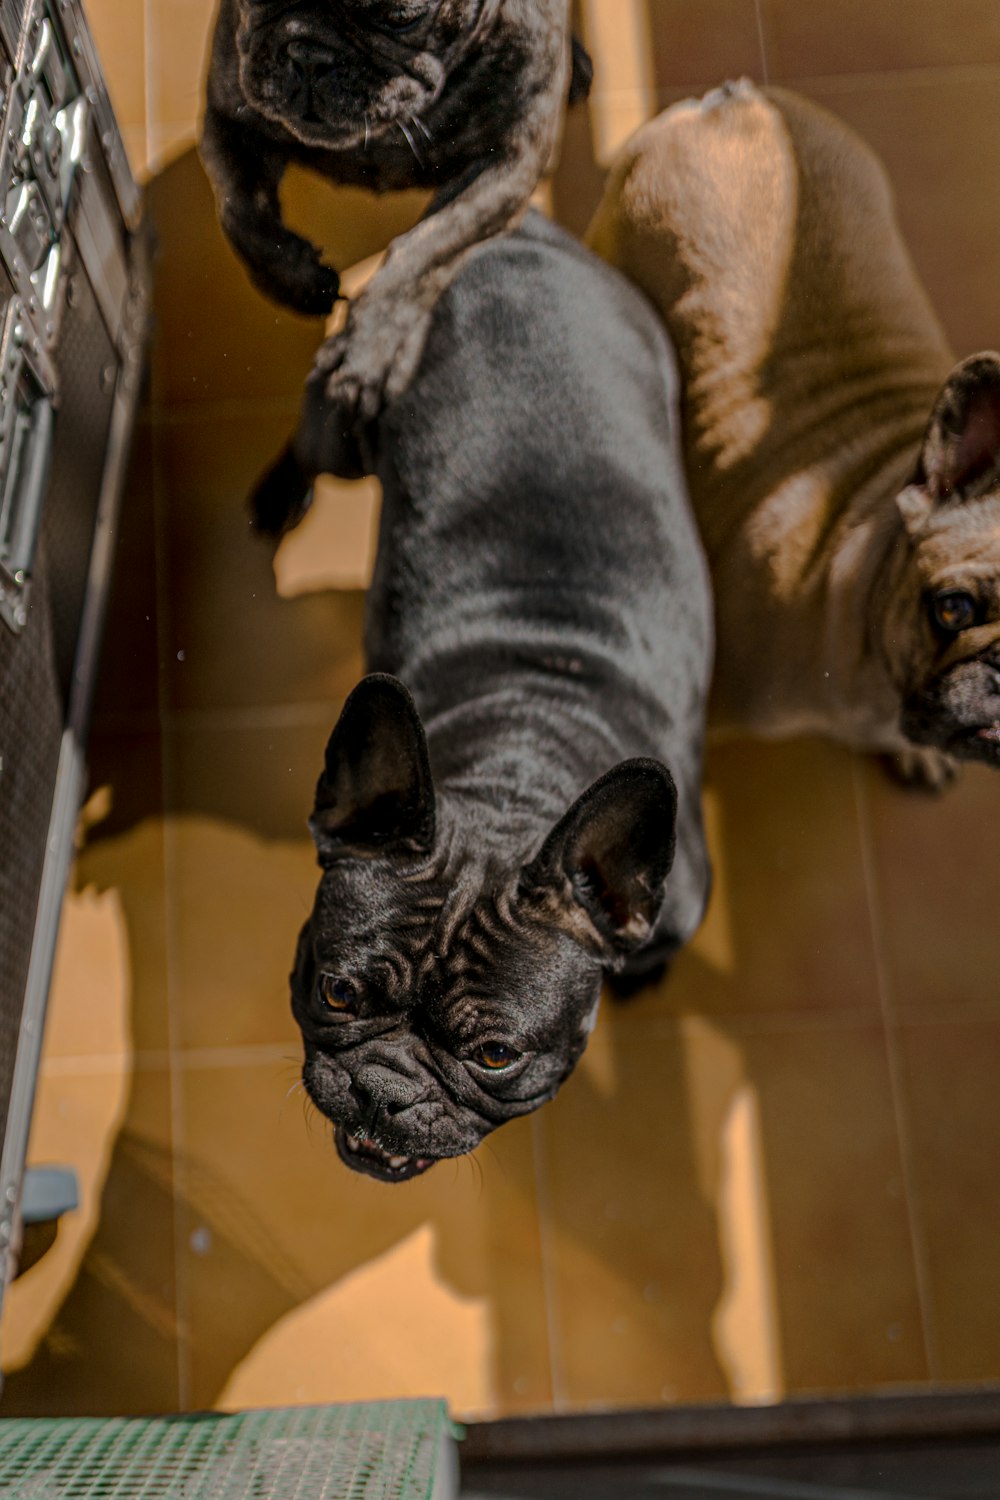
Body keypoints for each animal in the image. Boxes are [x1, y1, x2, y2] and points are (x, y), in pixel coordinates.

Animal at [203, 0, 593, 429]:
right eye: (253, 1)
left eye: (401, 18)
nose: (310, 55)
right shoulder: (225, 117)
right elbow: (240, 216)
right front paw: (299, 281)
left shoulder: (510, 164)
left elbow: (422, 252)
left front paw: (367, 350)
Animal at [284, 217, 716, 1182]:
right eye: (336, 990)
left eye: (495, 1055)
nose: (385, 1090)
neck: (517, 771)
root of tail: (526, 230)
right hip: (353, 414)